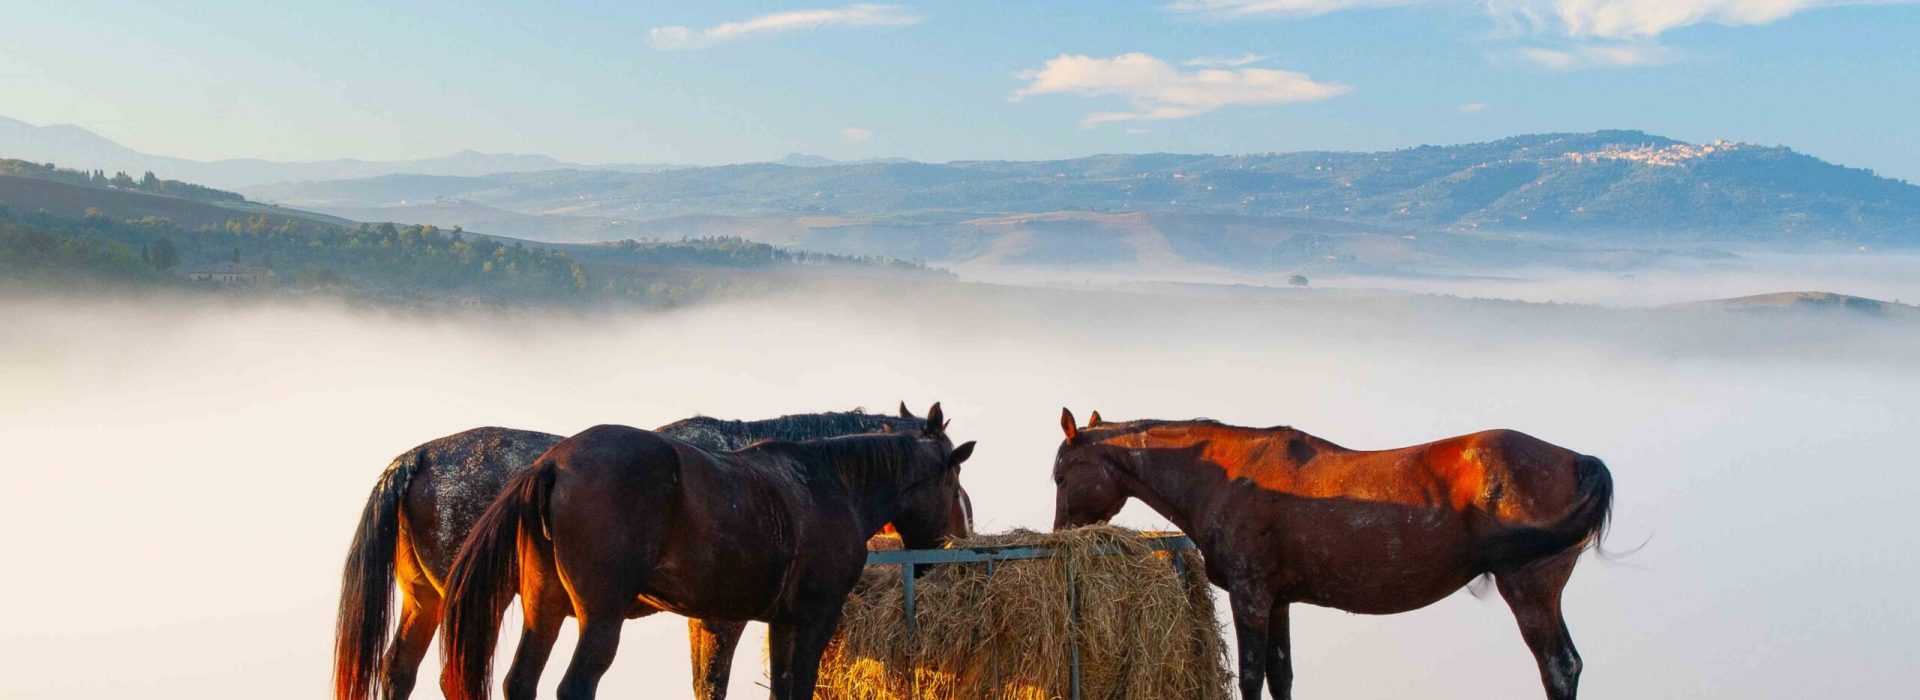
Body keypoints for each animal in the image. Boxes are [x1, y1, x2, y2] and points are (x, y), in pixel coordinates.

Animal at [334, 405, 969, 700]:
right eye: (956, 476)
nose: (953, 545)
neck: (811, 480)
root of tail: (415, 458)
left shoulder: (748, 618)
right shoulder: (761, 618)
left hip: (444, 603)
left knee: (405, 670)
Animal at [1050, 409, 1612, 700]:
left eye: (1059, 475)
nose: (1057, 535)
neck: (1227, 479)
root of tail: (1577, 461)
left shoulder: (1251, 597)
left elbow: (1252, 677)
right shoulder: (1277, 601)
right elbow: (1280, 676)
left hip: (1530, 590)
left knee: (1559, 667)